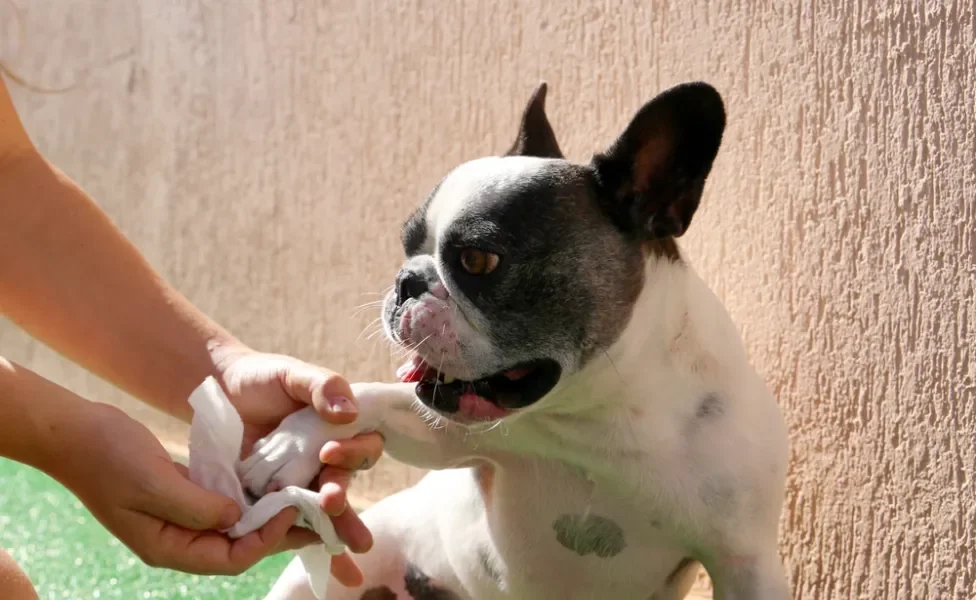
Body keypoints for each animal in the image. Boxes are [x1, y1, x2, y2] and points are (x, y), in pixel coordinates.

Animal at [240, 81, 788, 600]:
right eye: (407, 244)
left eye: (478, 260)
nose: (406, 281)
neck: (599, 414)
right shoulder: (454, 440)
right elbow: (367, 396)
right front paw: (290, 444)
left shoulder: (745, 562)